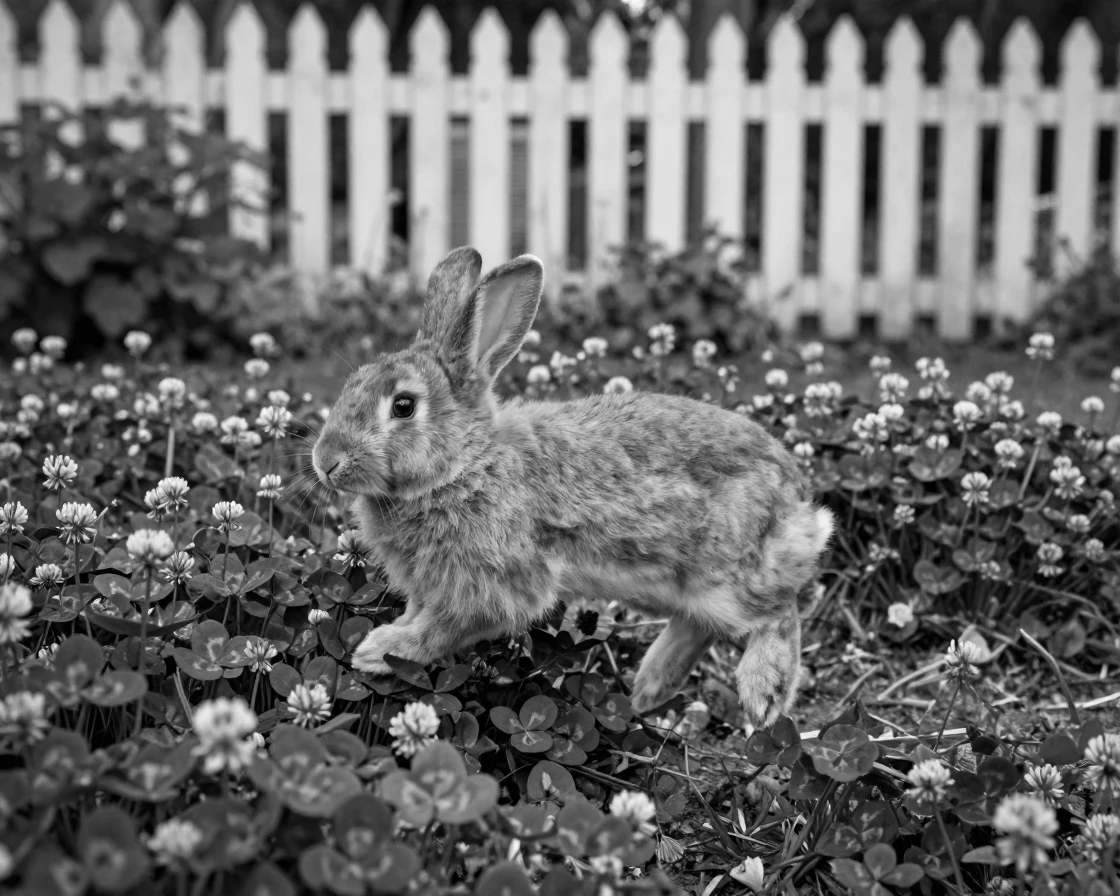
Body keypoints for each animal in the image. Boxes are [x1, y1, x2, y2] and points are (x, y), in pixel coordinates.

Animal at [312, 247, 835, 729]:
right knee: (701, 624)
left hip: (729, 575)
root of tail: (798, 499)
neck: (467, 462)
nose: (325, 462)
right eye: (353, 382)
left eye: (403, 406)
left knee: (780, 610)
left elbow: (441, 629)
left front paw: (377, 650)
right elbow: (420, 616)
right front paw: (384, 638)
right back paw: (648, 688)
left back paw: (762, 692)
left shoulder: (490, 587)